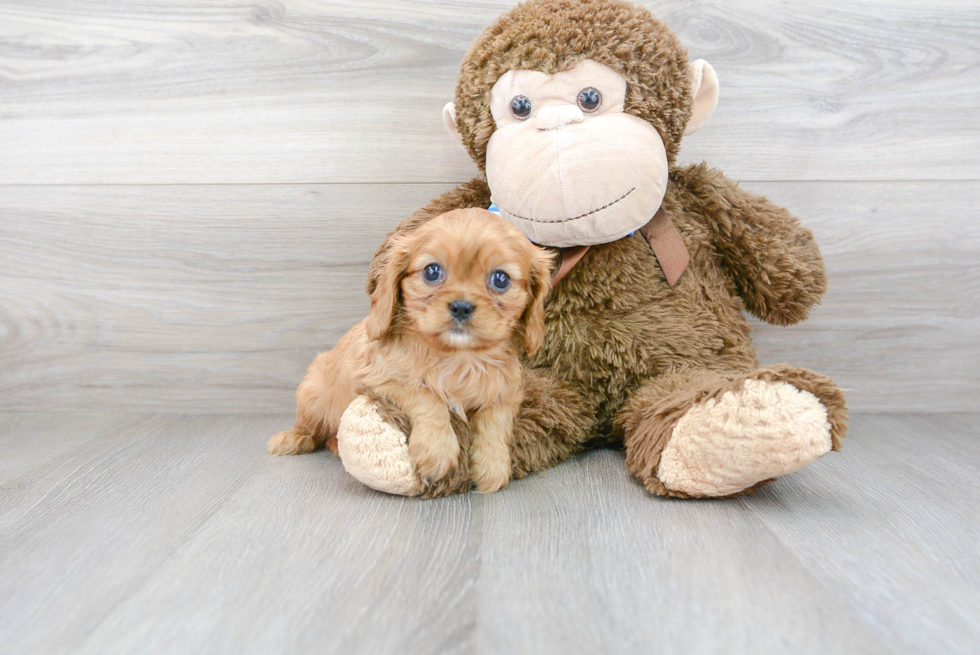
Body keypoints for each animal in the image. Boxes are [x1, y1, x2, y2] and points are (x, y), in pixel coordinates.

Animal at [268, 209, 556, 492]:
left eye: (501, 279)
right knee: (311, 428)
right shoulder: (379, 379)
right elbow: (427, 396)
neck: (459, 357)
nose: (461, 306)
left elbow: (496, 418)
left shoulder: (508, 390)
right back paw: (293, 438)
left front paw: (493, 465)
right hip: (312, 397)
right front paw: (437, 450)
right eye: (432, 272)